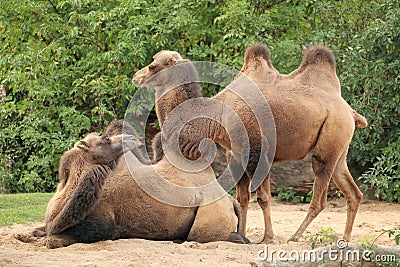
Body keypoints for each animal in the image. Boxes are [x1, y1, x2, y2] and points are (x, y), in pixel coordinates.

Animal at [42, 121, 247, 249]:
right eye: (106, 139)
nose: (130, 138)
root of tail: (229, 200)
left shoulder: (105, 224)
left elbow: (54, 239)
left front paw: (53, 239)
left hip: (209, 211)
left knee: (202, 235)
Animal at [133, 45, 368, 244]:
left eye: (153, 65)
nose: (137, 77)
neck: (216, 116)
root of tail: (350, 111)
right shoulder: (235, 154)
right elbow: (243, 199)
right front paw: (242, 234)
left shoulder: (255, 150)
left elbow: (263, 198)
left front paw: (268, 237)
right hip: (340, 146)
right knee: (353, 192)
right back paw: (345, 239)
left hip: (331, 137)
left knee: (320, 194)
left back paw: (295, 237)